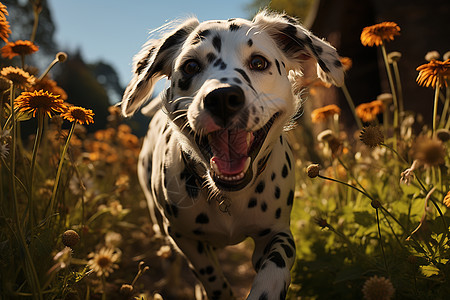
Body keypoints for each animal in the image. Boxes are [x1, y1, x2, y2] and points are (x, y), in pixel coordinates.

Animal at [121, 9, 342, 300]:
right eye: (190, 66)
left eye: (258, 62)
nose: (223, 98)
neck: (228, 196)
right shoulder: (183, 238)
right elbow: (210, 276)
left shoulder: (276, 232)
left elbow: (276, 265)